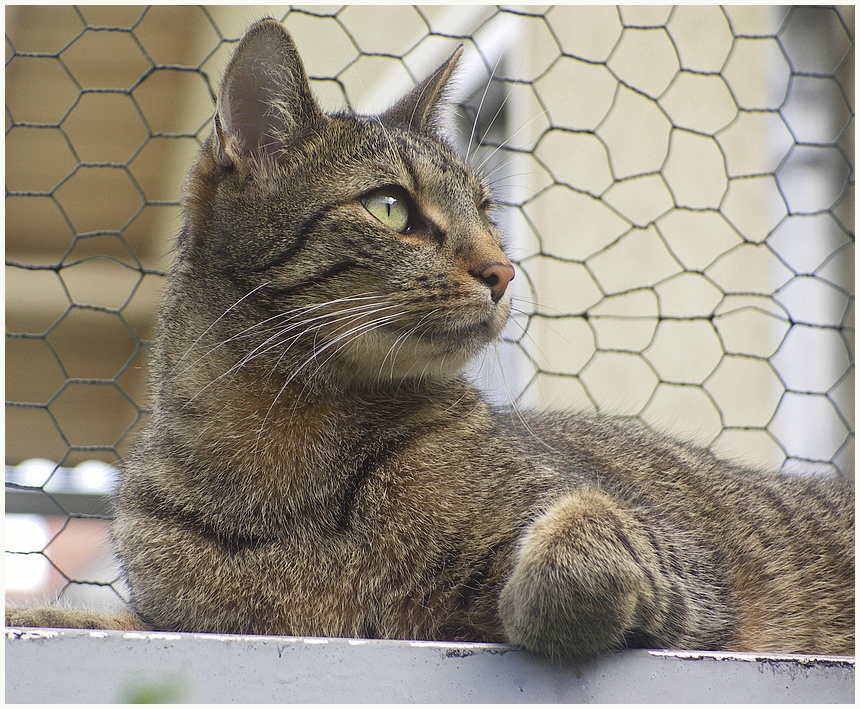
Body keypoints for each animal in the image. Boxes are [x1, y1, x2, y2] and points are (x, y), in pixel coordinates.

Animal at [6, 19, 852, 660]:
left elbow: (583, 533)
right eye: (389, 207)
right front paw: (43, 613)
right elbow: (115, 620)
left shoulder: (679, 562)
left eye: (487, 208)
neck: (282, 447)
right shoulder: (189, 621)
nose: (504, 270)